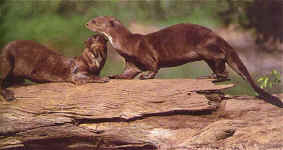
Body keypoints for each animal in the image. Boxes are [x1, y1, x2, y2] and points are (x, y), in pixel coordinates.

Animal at [85, 16, 282, 108]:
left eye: (95, 21)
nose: (86, 24)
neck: (127, 43)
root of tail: (219, 37)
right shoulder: (131, 61)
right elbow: (128, 73)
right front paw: (113, 75)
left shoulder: (145, 53)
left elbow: (153, 66)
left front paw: (147, 76)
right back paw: (209, 76)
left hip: (204, 47)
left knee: (222, 62)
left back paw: (211, 77)